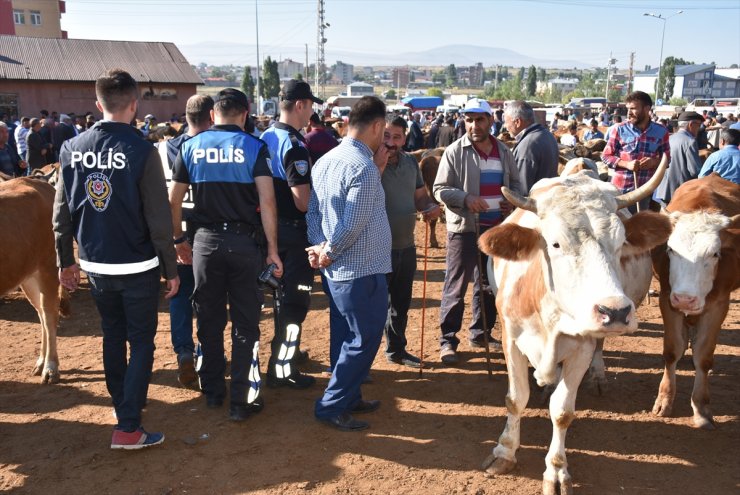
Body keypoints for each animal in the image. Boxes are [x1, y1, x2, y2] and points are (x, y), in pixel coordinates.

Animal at [0, 178, 68, 384]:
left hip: (49, 267)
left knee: (49, 315)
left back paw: (50, 368)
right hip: (28, 275)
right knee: (41, 313)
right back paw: (41, 362)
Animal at [476, 158, 672, 495]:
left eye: (620, 243)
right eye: (555, 243)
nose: (615, 311)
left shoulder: (581, 348)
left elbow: (563, 411)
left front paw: (556, 471)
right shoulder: (511, 339)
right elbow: (515, 399)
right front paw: (504, 452)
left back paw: (597, 376)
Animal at [652, 173, 736, 430]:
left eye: (715, 254)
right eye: (670, 249)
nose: (685, 299)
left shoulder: (719, 305)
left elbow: (704, 357)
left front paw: (701, 408)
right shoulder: (667, 298)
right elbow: (671, 351)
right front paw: (664, 400)